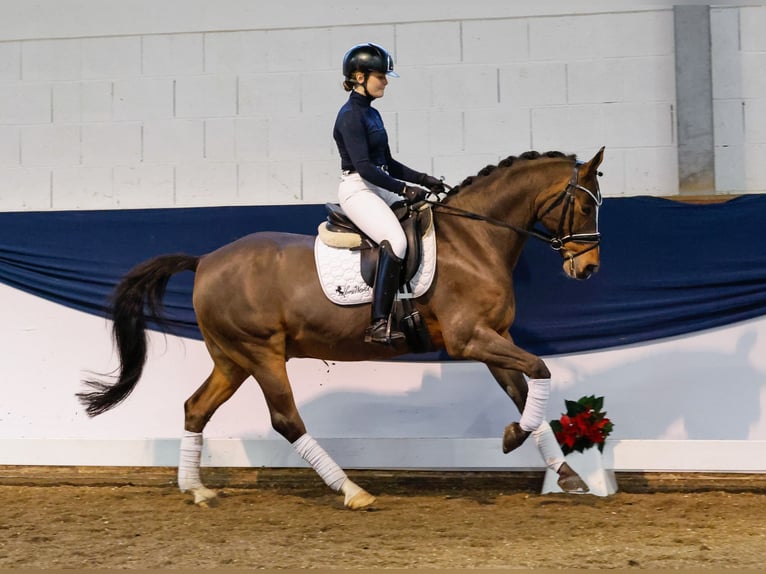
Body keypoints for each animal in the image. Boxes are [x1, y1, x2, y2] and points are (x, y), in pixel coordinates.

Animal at [78, 146, 608, 510]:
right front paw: (516, 440)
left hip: (232, 358)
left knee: (196, 408)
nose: (588, 270)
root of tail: (206, 260)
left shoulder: (494, 339)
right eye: (585, 207)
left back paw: (197, 489)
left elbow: (526, 390)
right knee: (286, 420)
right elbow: (540, 370)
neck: (474, 239)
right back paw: (353, 490)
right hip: (261, 353)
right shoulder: (469, 339)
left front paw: (564, 472)